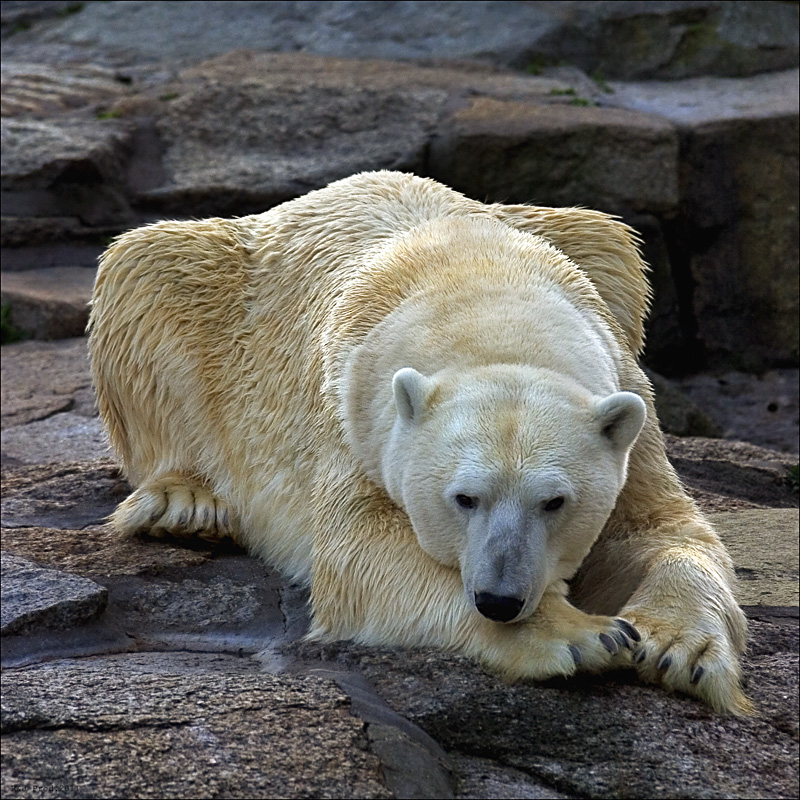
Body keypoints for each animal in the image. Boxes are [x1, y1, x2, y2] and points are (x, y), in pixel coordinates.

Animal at [90, 169, 752, 712]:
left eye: (554, 502)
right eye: (464, 498)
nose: (499, 599)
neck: (482, 295)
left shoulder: (622, 388)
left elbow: (656, 529)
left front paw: (683, 649)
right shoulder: (351, 410)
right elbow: (360, 548)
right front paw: (584, 634)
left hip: (583, 244)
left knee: (608, 235)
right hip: (215, 297)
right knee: (146, 268)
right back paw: (185, 504)